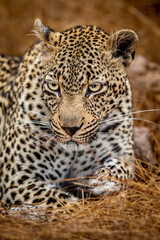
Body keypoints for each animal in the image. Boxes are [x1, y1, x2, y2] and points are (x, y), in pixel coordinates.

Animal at [0, 18, 138, 209]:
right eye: (54, 86)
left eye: (94, 87)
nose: (70, 129)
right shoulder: (15, 177)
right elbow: (62, 202)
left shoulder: (123, 151)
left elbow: (122, 169)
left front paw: (101, 180)